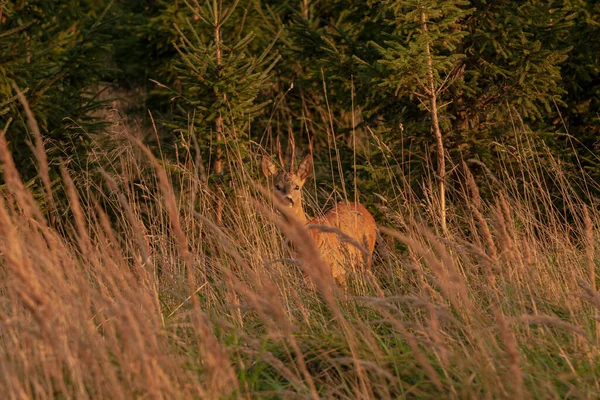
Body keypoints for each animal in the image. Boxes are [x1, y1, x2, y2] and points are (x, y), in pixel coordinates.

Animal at [262, 148, 376, 282]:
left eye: (297, 187)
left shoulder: (335, 270)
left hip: (366, 253)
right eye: (277, 186)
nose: (287, 200)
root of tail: (365, 210)